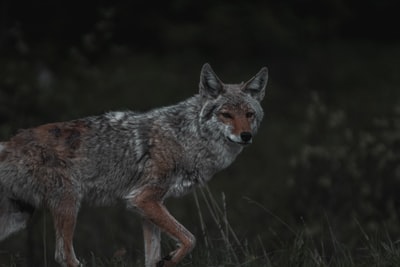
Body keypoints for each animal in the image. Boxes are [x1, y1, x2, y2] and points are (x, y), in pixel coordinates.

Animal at [0, 63, 268, 266]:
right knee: (64, 256)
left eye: (249, 114)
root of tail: (9, 143)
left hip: (18, 218)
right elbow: (190, 238)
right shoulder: (143, 199)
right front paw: (170, 258)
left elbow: (154, 255)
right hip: (68, 206)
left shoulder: (148, 207)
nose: (246, 136)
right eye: (226, 114)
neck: (187, 138)